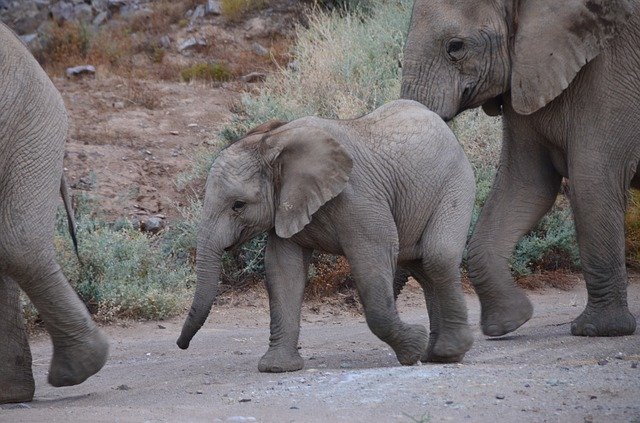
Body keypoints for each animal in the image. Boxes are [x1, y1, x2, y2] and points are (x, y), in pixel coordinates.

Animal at [179, 99, 476, 372]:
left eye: (238, 205)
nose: (181, 345)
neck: (274, 140)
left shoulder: (359, 196)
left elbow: (374, 256)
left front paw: (412, 347)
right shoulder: (287, 203)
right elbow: (282, 270)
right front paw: (277, 368)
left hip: (457, 182)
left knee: (438, 258)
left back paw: (447, 354)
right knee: (422, 269)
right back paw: (435, 354)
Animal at [402, 0, 636, 338]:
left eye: (455, 47)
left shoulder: (611, 75)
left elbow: (591, 182)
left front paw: (598, 330)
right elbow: (525, 185)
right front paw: (508, 322)